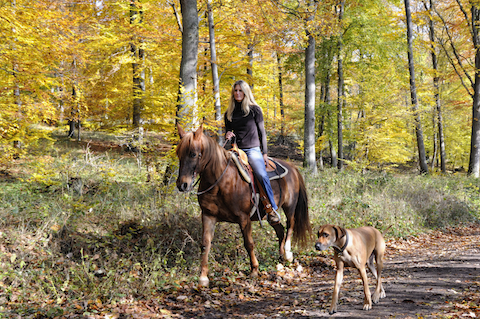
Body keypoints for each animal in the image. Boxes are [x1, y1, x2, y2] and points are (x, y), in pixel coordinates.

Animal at [176, 125, 312, 288]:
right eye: (178, 154)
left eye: (193, 154)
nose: (182, 185)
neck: (221, 181)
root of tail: (292, 167)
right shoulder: (208, 215)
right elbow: (205, 244)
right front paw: (203, 277)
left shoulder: (244, 218)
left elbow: (249, 243)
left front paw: (254, 270)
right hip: (270, 215)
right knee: (280, 230)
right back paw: (280, 257)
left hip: (290, 207)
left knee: (290, 226)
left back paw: (288, 253)